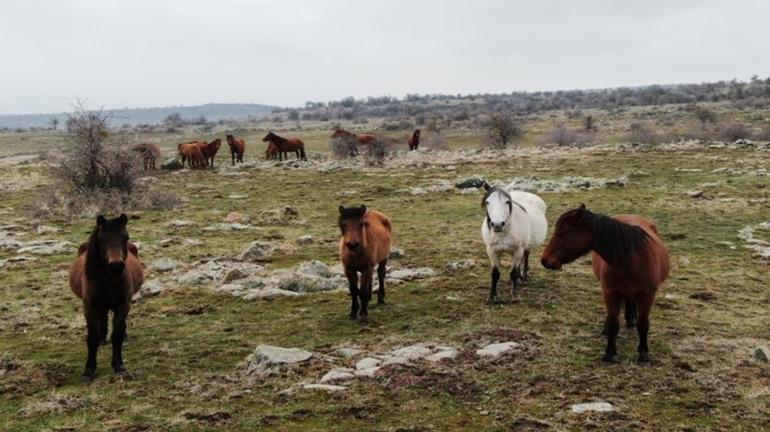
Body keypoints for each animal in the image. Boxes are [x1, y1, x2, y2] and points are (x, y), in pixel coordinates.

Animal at [69, 214, 144, 380]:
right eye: (102, 238)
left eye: (125, 237)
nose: (116, 265)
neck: (108, 281)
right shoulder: (90, 307)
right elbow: (91, 338)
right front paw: (89, 370)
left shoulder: (123, 306)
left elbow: (117, 335)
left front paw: (119, 366)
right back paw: (102, 338)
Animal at [536, 204, 668, 362]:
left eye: (561, 233)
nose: (544, 260)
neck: (633, 261)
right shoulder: (610, 293)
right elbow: (613, 324)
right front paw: (609, 354)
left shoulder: (648, 295)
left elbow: (643, 325)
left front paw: (643, 354)